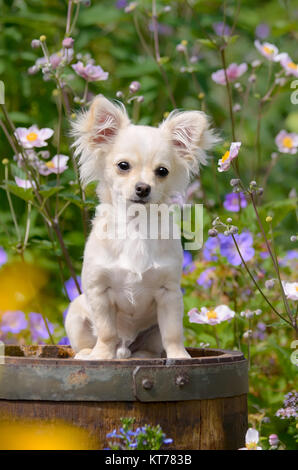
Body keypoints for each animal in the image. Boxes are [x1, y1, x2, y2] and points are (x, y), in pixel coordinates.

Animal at [65, 95, 217, 360]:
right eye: (123, 166)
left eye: (162, 171)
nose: (143, 188)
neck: (135, 227)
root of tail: (125, 349)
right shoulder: (99, 292)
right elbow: (106, 331)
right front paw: (101, 356)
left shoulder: (169, 295)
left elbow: (173, 333)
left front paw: (179, 357)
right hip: (75, 313)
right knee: (91, 340)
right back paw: (87, 354)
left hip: (152, 332)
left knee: (151, 346)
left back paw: (143, 356)